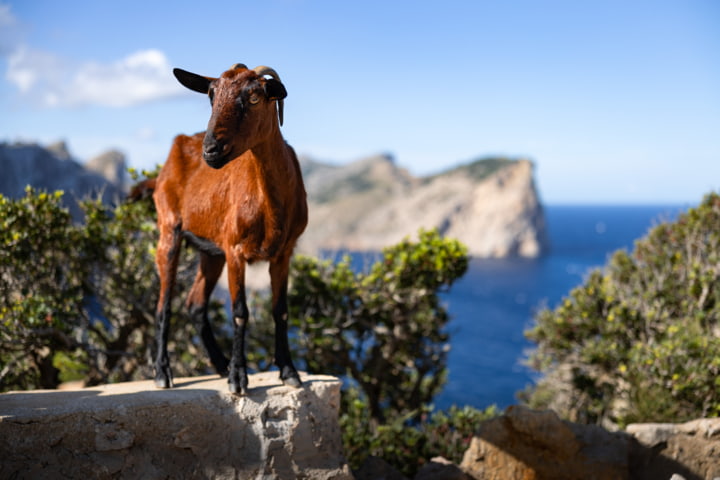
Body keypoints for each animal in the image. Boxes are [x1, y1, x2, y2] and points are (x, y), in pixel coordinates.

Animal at [150, 63, 308, 394]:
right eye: (211, 95)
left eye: (255, 97)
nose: (210, 150)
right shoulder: (236, 250)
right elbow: (239, 312)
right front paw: (238, 377)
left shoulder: (283, 253)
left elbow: (281, 310)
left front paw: (288, 371)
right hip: (169, 230)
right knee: (163, 304)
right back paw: (162, 371)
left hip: (211, 252)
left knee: (195, 304)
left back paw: (219, 364)